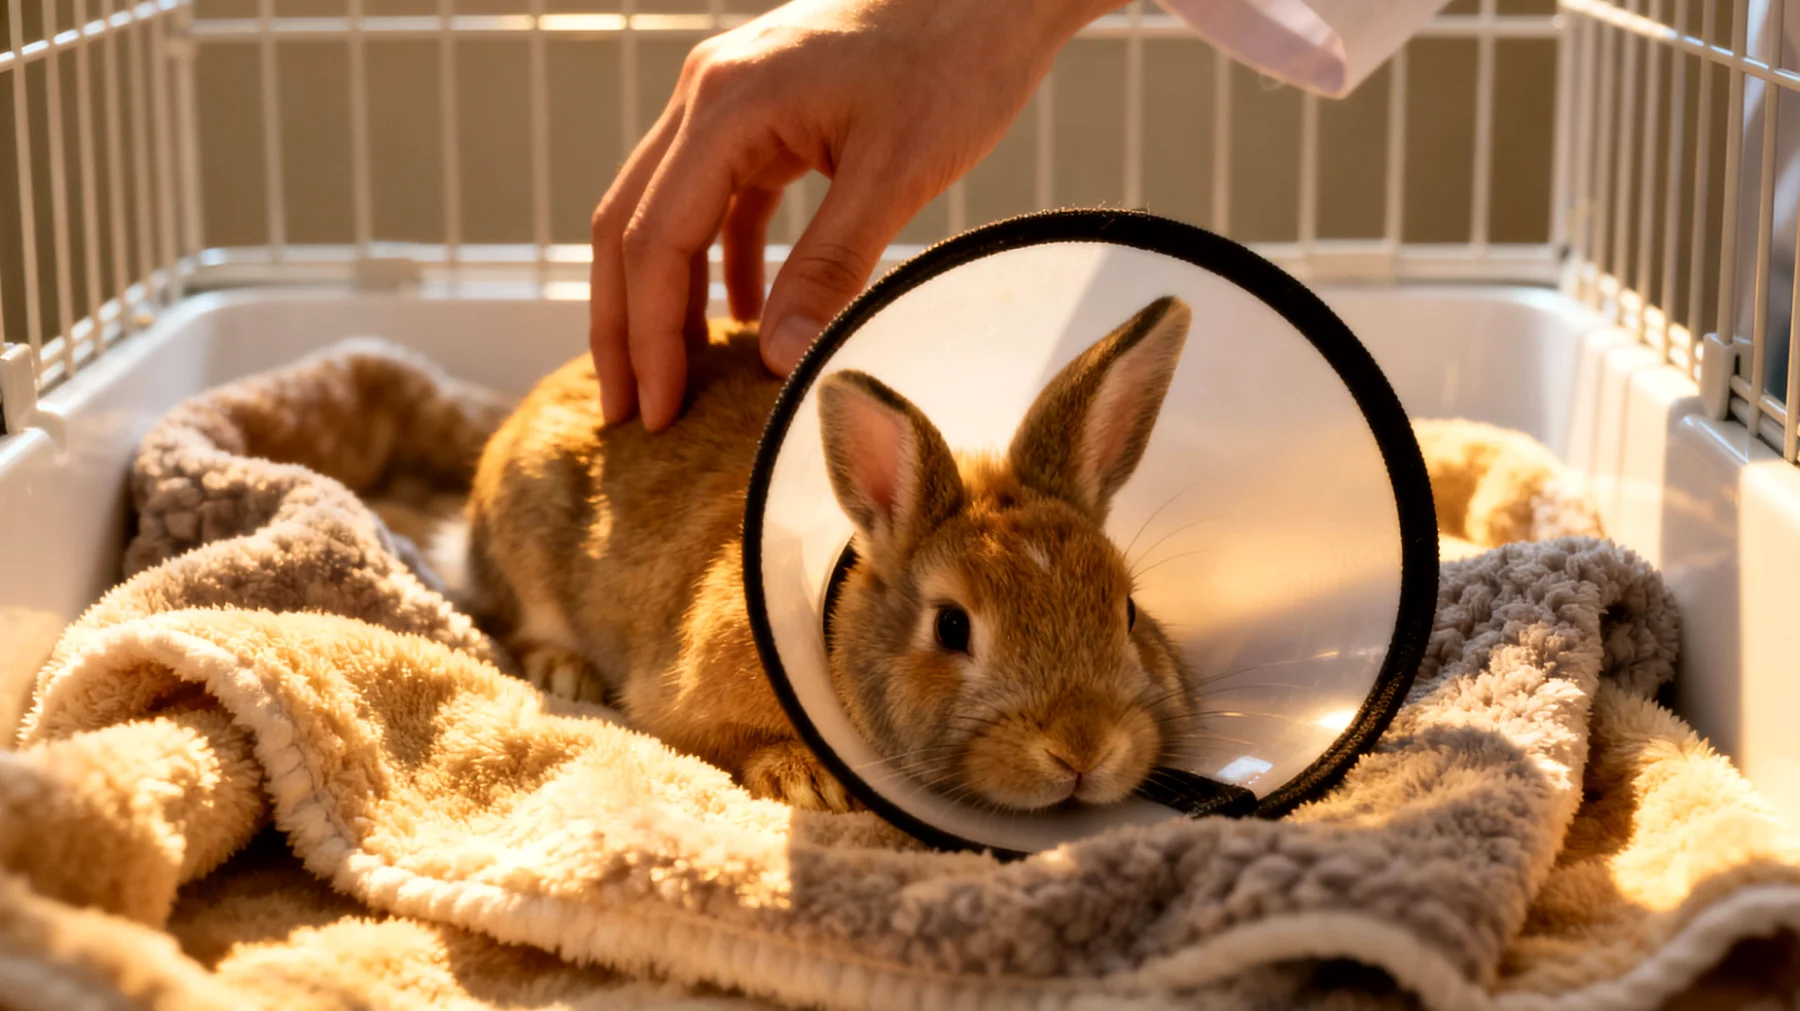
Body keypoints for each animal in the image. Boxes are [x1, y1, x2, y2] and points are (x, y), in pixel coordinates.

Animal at [455, 294, 1198, 814]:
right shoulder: (675, 702)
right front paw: (809, 781)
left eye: (1129, 612)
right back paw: (566, 671)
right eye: (951, 626)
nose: (1082, 747)